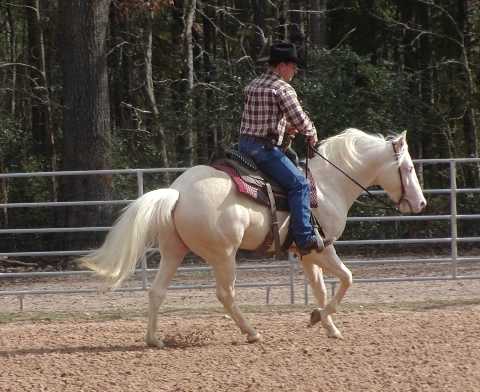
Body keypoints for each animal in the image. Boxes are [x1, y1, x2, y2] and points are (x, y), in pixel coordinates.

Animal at [82, 129, 428, 346]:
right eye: (409, 168)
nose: (421, 204)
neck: (328, 185)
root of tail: (177, 192)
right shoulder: (322, 248)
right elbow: (346, 279)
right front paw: (319, 318)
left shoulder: (307, 252)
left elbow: (319, 289)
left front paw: (327, 325)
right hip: (223, 255)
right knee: (226, 294)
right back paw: (252, 333)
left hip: (174, 251)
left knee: (157, 292)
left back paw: (154, 339)